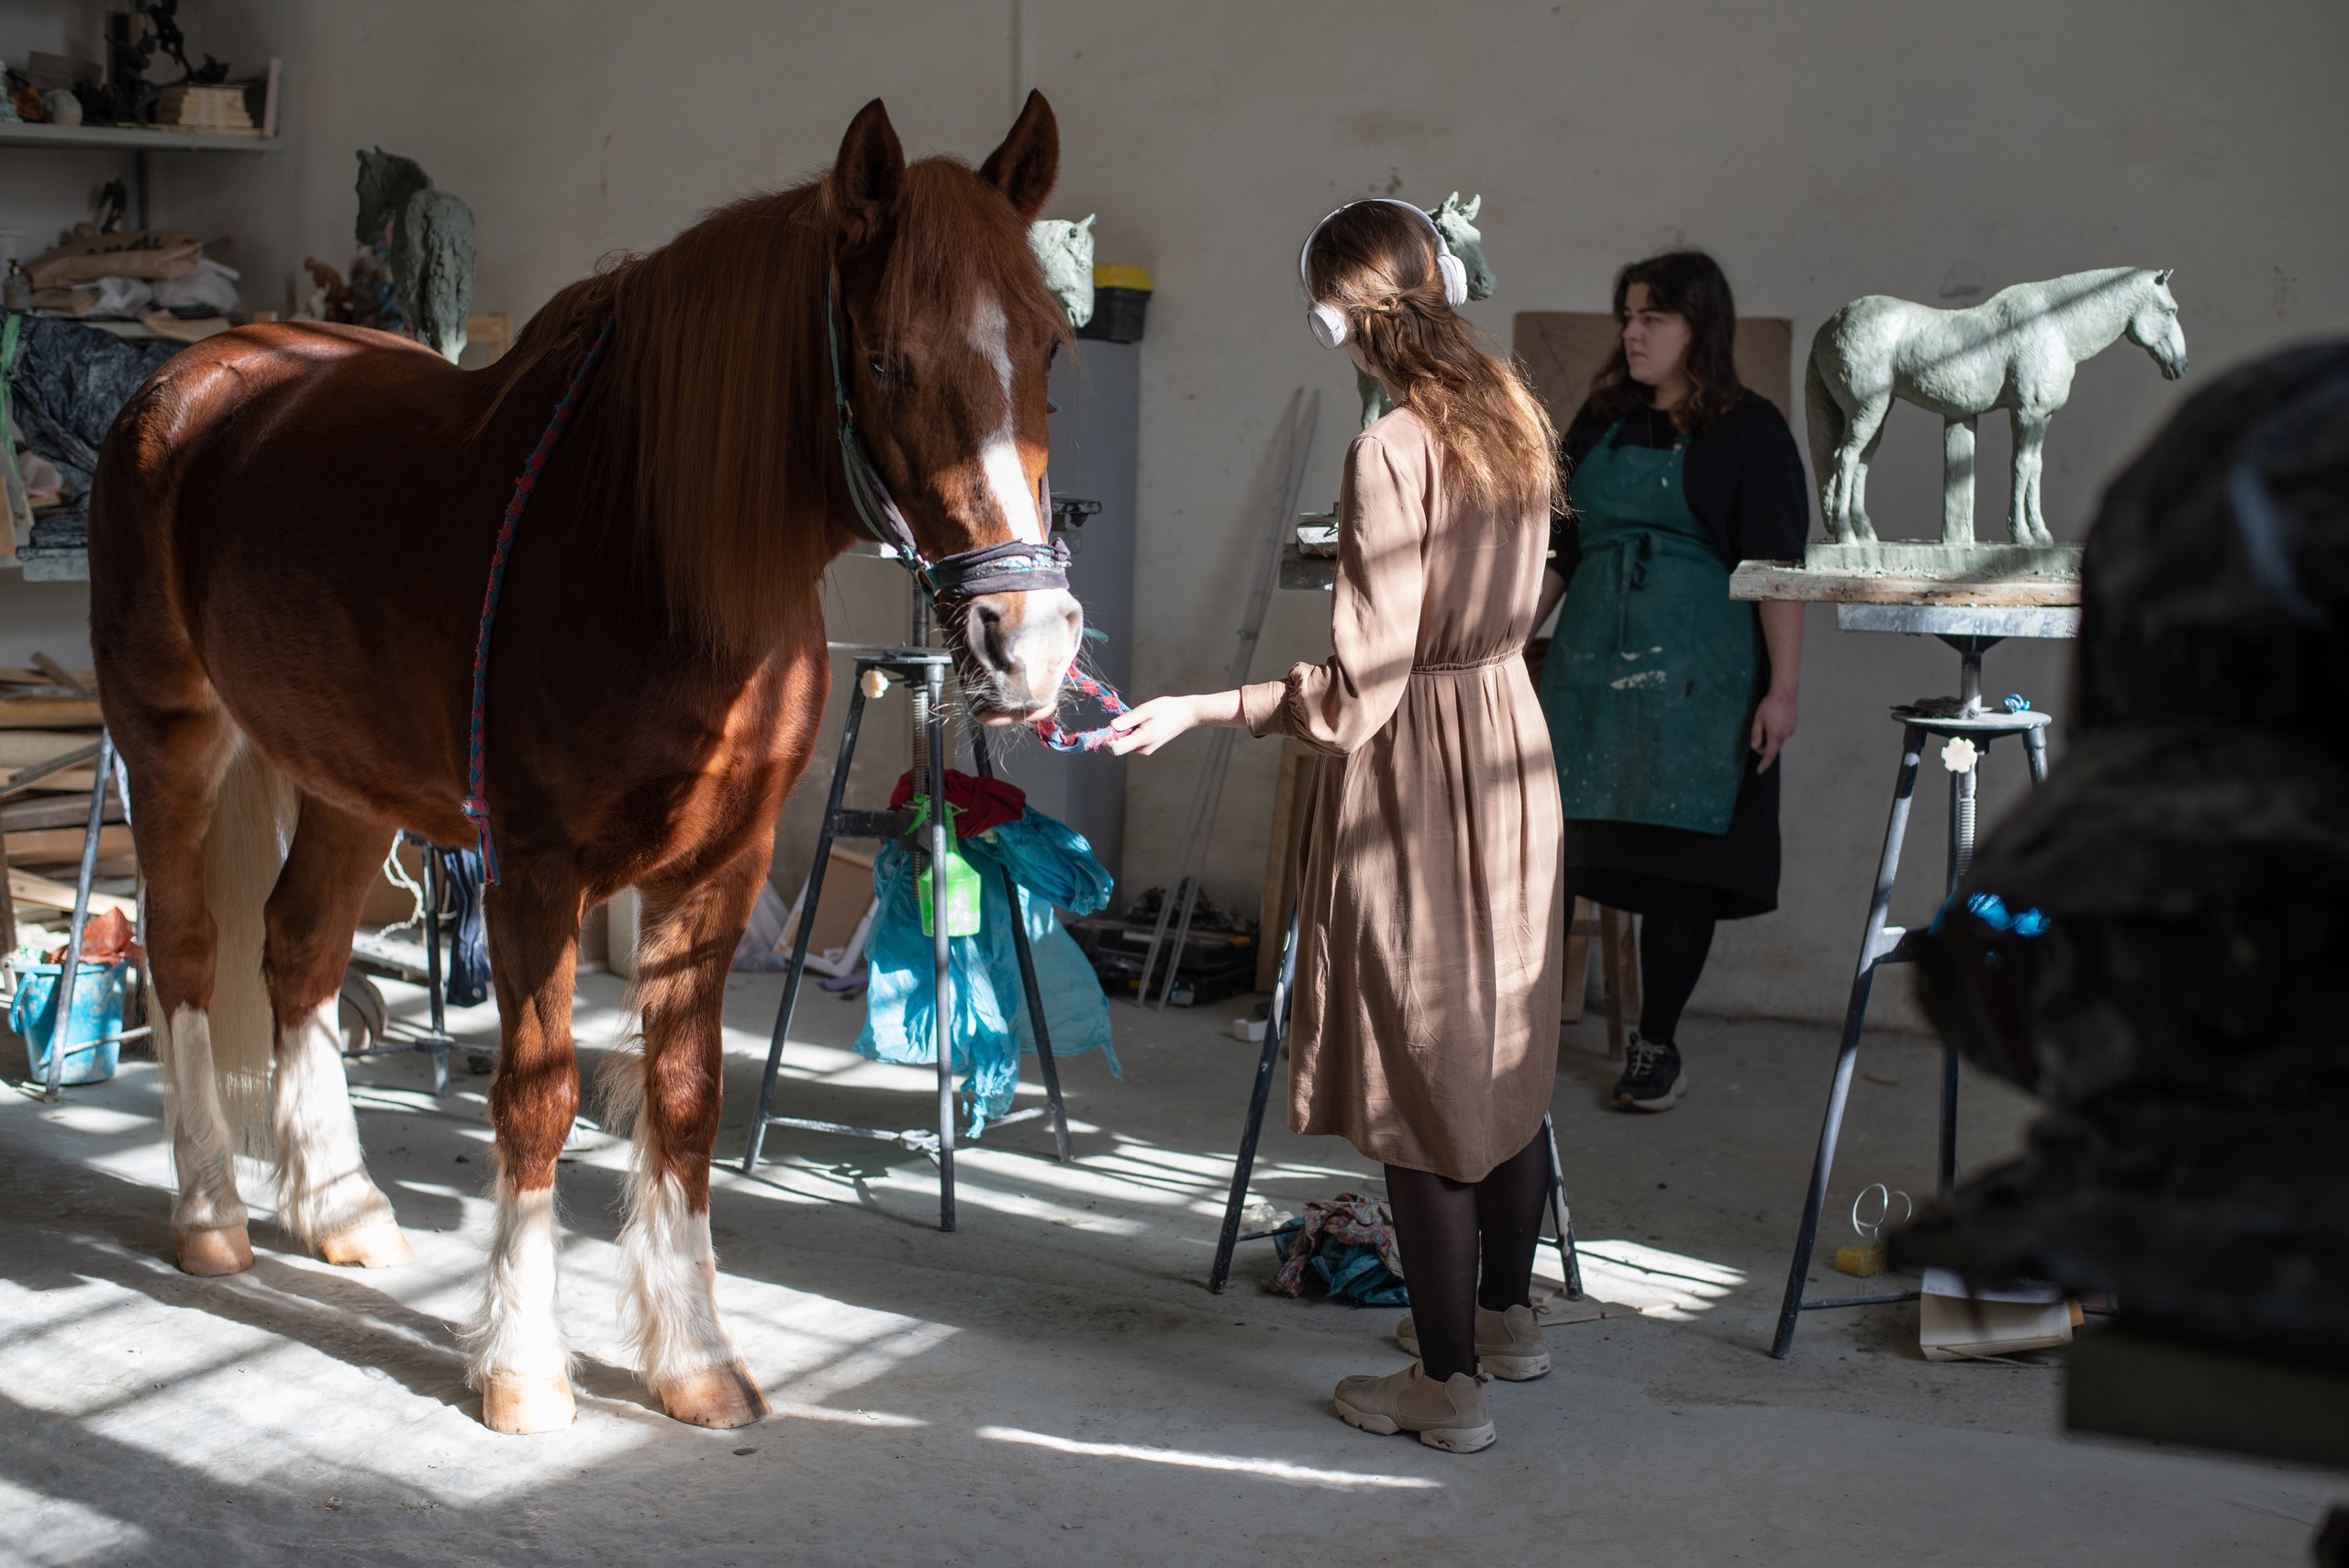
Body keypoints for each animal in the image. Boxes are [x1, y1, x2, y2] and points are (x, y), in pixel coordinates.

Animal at [84, 88, 1080, 1436]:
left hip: (347, 777)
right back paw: (210, 1214)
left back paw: (340, 1206)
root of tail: (188, 379)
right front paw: (520, 1362)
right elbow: (538, 1095)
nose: (1026, 641)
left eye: (1050, 346)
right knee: (185, 947)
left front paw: (696, 1358)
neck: (650, 562)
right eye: (884, 361)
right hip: (170, 741)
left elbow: (685, 1095)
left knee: (297, 951)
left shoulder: (719, 870)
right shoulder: (535, 871)